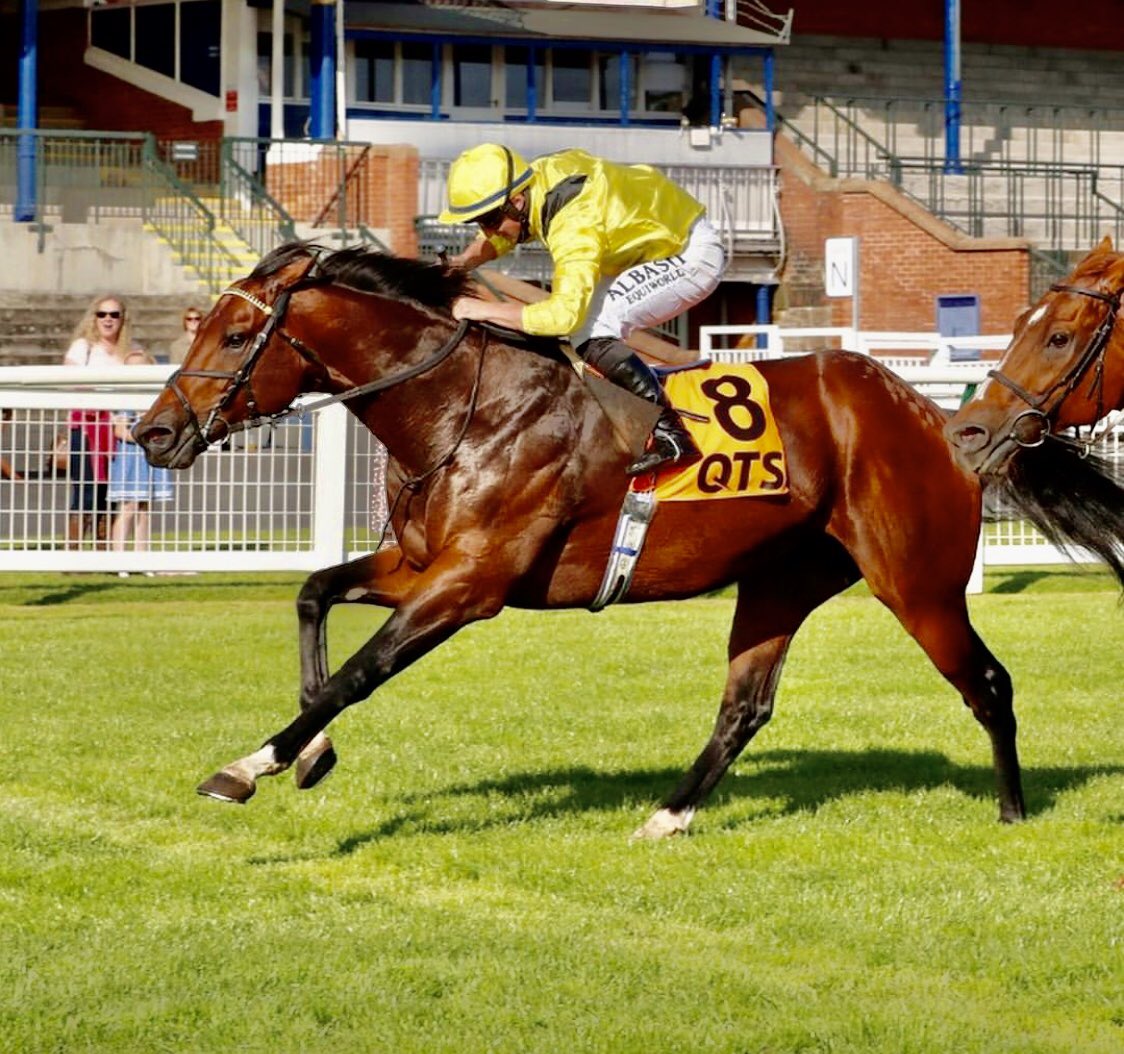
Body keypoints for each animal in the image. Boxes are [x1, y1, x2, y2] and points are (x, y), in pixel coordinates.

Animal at [133, 242, 1029, 836]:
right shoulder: (422, 564)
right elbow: (313, 592)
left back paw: (1014, 812)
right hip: (782, 579)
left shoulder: (471, 584)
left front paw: (251, 766)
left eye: (236, 338)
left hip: (916, 582)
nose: (153, 433)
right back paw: (667, 816)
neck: (461, 407)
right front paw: (311, 752)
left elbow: (360, 672)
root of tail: (937, 417)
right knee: (746, 706)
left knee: (988, 681)